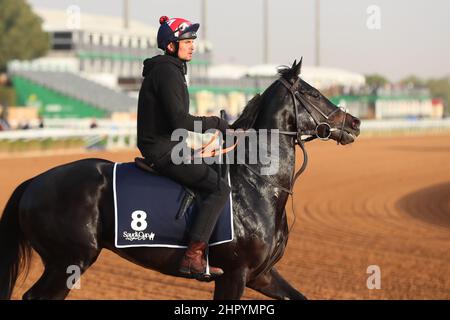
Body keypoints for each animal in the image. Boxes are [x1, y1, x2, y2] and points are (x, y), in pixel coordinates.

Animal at [0, 59, 360, 300]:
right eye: (312, 93)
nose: (354, 122)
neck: (258, 188)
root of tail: (33, 183)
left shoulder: (262, 275)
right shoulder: (234, 275)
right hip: (70, 261)